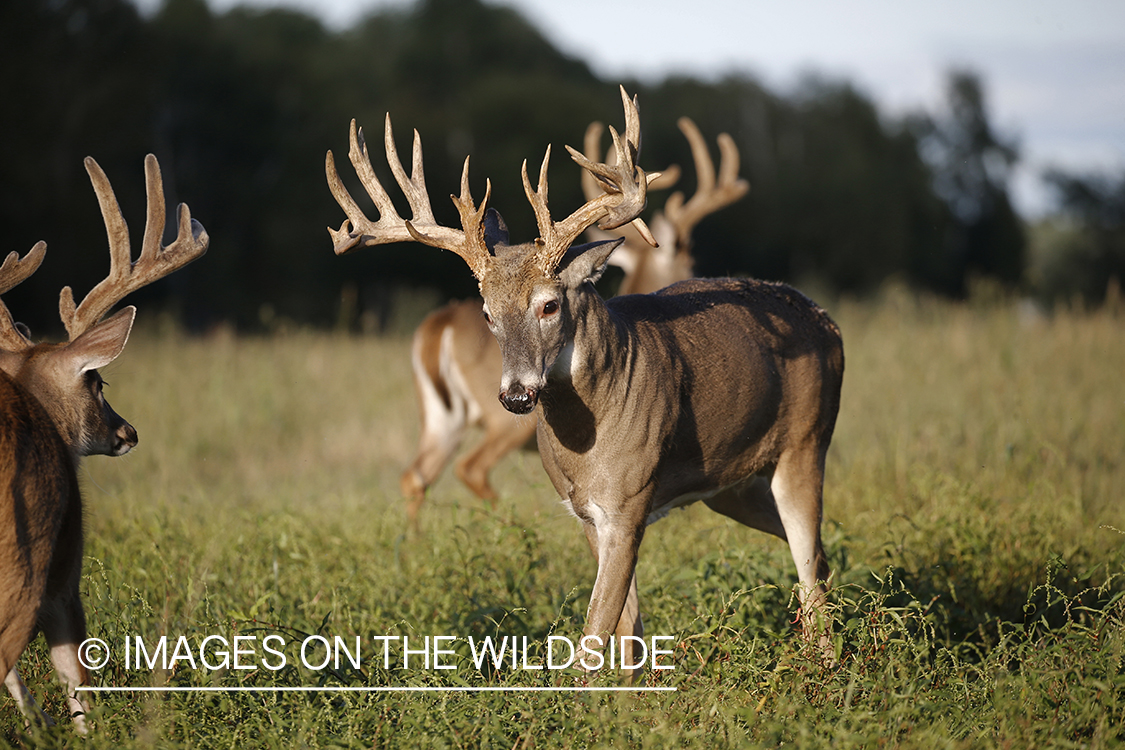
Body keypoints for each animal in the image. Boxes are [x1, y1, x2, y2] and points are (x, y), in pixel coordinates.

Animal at [396, 115, 747, 521]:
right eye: (689, 261)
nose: (701, 275)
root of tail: (440, 326)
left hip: (440, 417)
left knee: (416, 475)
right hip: (501, 419)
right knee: (470, 467)